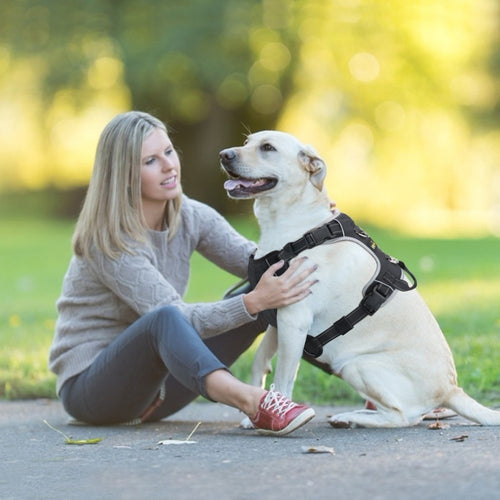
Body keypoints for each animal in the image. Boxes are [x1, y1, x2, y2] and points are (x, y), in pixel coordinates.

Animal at [221, 131, 500, 428]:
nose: (224, 155)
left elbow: (285, 377)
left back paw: (348, 417)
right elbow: (259, 360)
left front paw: (276, 410)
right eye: (247, 142)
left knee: (402, 417)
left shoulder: (294, 319)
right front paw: (254, 411)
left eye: (268, 148)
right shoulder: (278, 317)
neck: (299, 228)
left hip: (355, 365)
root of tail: (451, 389)